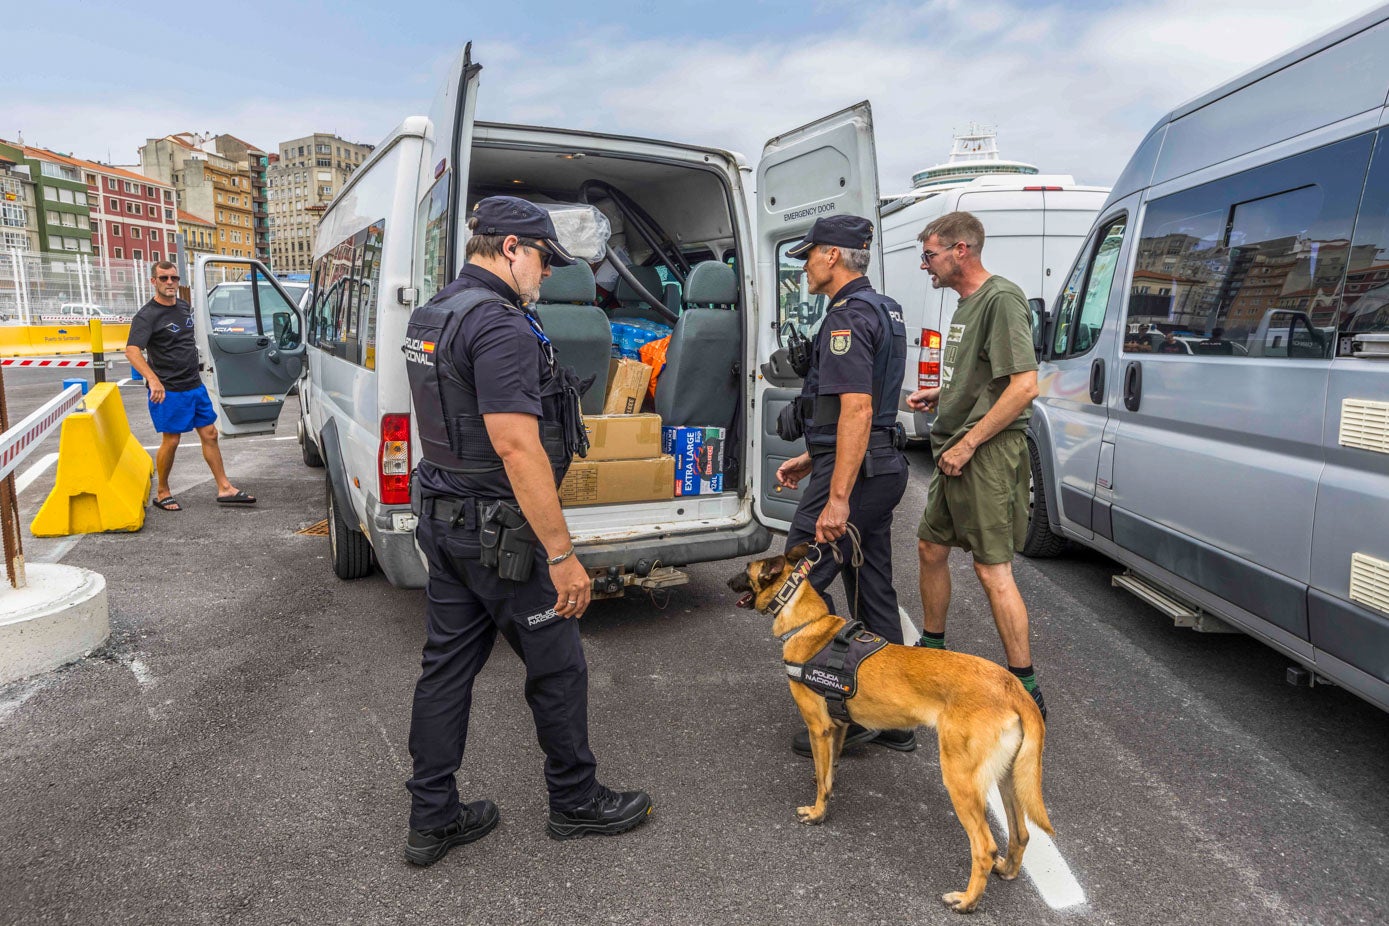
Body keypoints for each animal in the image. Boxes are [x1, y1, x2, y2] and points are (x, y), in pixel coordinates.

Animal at [727, 544, 1050, 910]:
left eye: (745, 570)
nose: (726, 582)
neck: (810, 625)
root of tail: (1013, 687)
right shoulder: (837, 726)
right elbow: (829, 769)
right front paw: (826, 781)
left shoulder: (819, 727)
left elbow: (823, 781)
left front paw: (817, 812)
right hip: (1008, 778)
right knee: (1020, 832)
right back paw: (1007, 870)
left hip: (960, 778)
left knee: (984, 847)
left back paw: (966, 901)